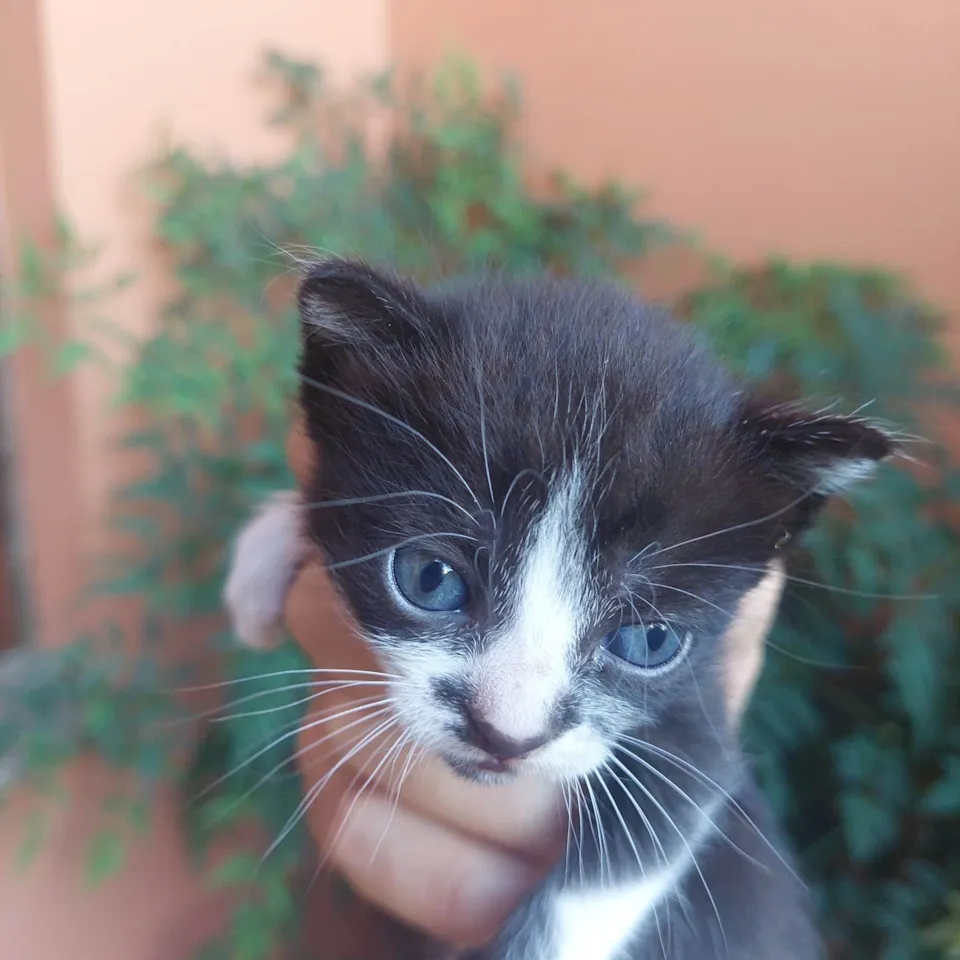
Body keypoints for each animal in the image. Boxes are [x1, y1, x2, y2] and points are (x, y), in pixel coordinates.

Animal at [224, 258, 895, 959]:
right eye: (430, 580)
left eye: (649, 642)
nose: (507, 735)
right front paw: (266, 552)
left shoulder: (699, 726)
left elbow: (629, 857)